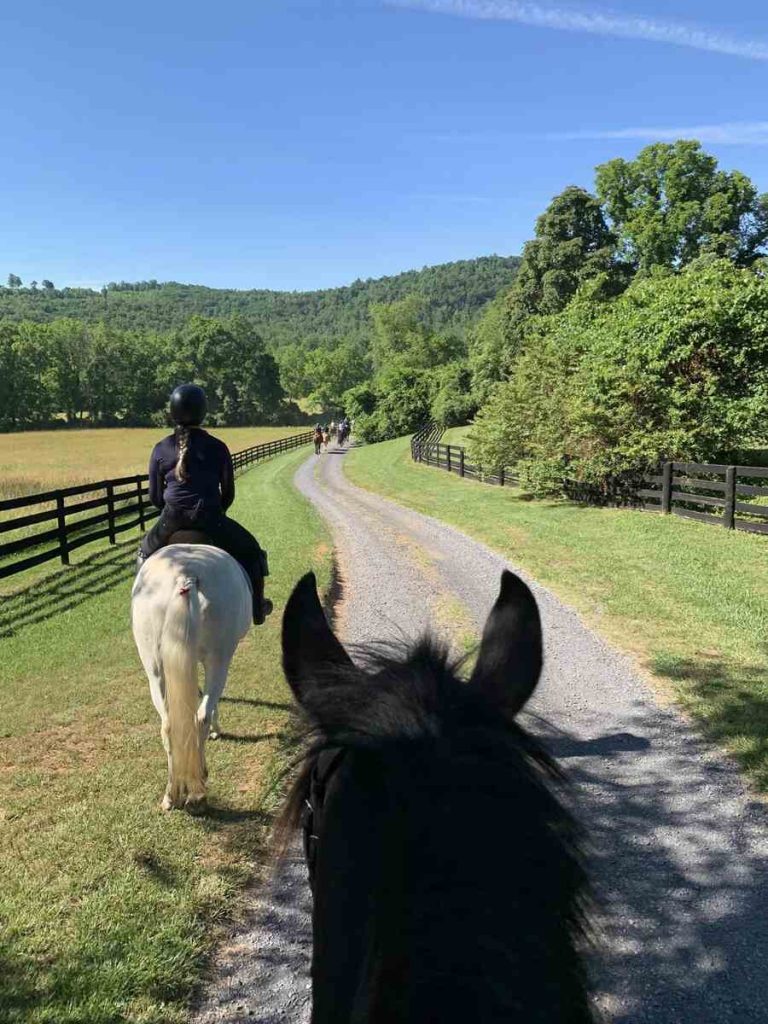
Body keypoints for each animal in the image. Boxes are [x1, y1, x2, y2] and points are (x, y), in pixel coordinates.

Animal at [132, 540, 252, 811]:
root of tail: (185, 575)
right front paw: (218, 730)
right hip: (219, 660)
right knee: (201, 716)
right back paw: (199, 789)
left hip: (155, 669)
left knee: (169, 726)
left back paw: (172, 795)